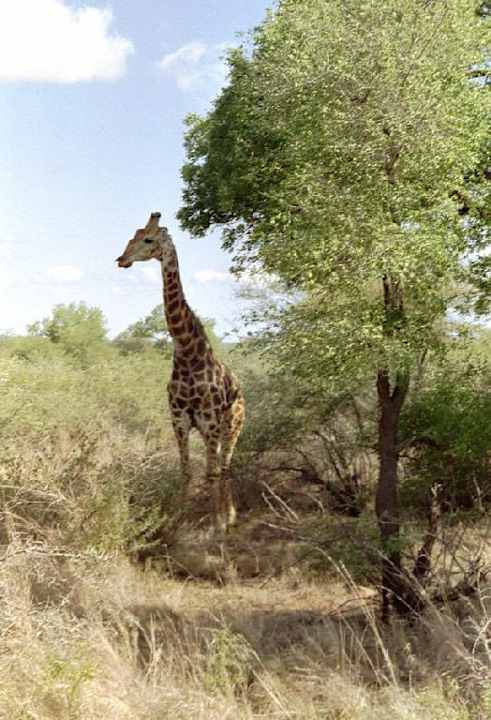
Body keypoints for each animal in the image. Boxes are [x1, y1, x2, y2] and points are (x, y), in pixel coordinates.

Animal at [116, 212, 245, 533]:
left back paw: (229, 519)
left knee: (224, 467)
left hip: (232, 426)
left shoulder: (209, 422)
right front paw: (176, 524)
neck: (188, 354)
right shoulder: (179, 421)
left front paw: (215, 527)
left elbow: (210, 474)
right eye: (132, 237)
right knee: (221, 466)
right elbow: (186, 472)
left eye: (149, 239)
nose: (121, 260)